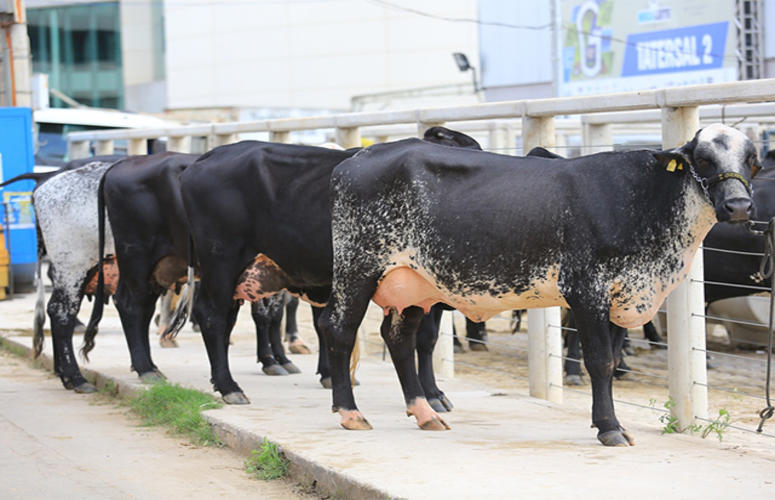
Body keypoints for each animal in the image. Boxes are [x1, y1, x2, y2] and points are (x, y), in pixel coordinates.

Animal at [320, 124, 756, 446]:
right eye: (703, 158)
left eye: (750, 159)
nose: (738, 206)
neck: (644, 198)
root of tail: (358, 158)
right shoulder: (586, 290)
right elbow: (600, 361)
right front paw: (610, 427)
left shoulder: (623, 294)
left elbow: (614, 358)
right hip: (357, 268)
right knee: (338, 329)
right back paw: (351, 412)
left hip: (411, 284)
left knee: (399, 338)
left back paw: (424, 412)